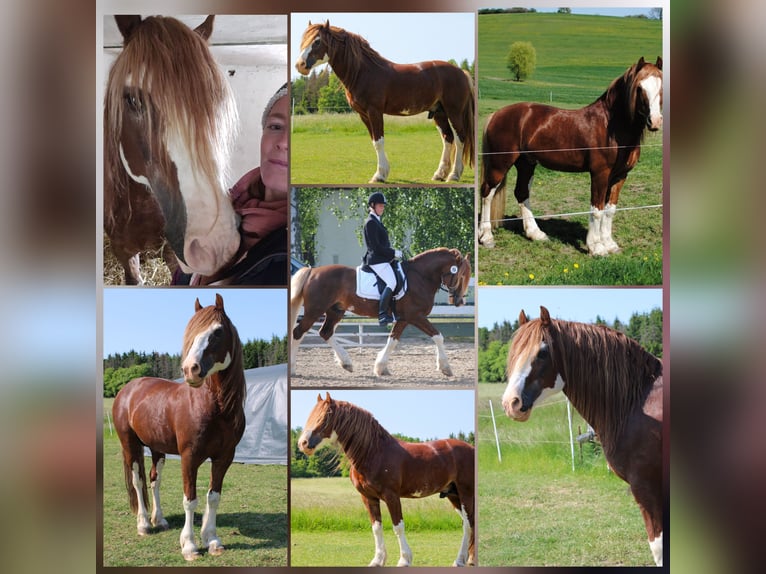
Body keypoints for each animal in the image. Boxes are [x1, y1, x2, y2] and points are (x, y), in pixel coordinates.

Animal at [112, 293, 246, 561]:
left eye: (217, 331)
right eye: (192, 332)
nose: (190, 369)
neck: (215, 408)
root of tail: (127, 389)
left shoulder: (224, 457)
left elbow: (213, 497)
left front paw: (212, 540)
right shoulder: (189, 457)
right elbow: (190, 500)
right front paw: (190, 546)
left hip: (157, 448)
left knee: (154, 480)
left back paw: (160, 520)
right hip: (130, 445)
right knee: (137, 481)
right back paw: (144, 524)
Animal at [289, 247, 471, 377]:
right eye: (460, 275)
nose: (459, 302)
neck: (420, 276)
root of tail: (312, 271)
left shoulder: (404, 318)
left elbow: (393, 340)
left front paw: (380, 368)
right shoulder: (415, 316)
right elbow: (438, 336)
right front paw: (445, 367)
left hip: (335, 311)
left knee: (325, 332)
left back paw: (346, 363)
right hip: (314, 311)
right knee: (298, 332)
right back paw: (292, 369)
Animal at [295, 20, 475, 183]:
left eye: (317, 41)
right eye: (304, 40)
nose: (300, 65)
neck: (363, 72)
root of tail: (461, 72)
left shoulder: (374, 111)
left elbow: (379, 142)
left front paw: (379, 175)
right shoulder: (363, 115)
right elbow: (374, 141)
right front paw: (383, 172)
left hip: (454, 112)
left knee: (460, 138)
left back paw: (454, 174)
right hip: (439, 113)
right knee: (448, 138)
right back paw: (439, 174)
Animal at [298, 393, 475, 566]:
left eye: (325, 417)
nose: (303, 443)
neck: (374, 452)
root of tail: (471, 448)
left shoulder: (391, 496)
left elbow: (398, 526)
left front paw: (404, 560)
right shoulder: (368, 498)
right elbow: (376, 528)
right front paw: (377, 560)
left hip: (466, 493)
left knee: (468, 524)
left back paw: (462, 560)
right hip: (453, 495)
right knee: (468, 523)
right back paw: (466, 559)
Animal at [479, 57, 663, 255]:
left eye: (662, 85)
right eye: (639, 88)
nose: (655, 121)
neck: (612, 126)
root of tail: (496, 114)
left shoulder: (620, 176)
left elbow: (610, 210)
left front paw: (610, 244)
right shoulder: (600, 173)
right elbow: (597, 209)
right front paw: (596, 247)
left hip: (526, 163)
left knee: (521, 192)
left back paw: (536, 234)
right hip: (499, 164)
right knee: (487, 193)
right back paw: (486, 237)